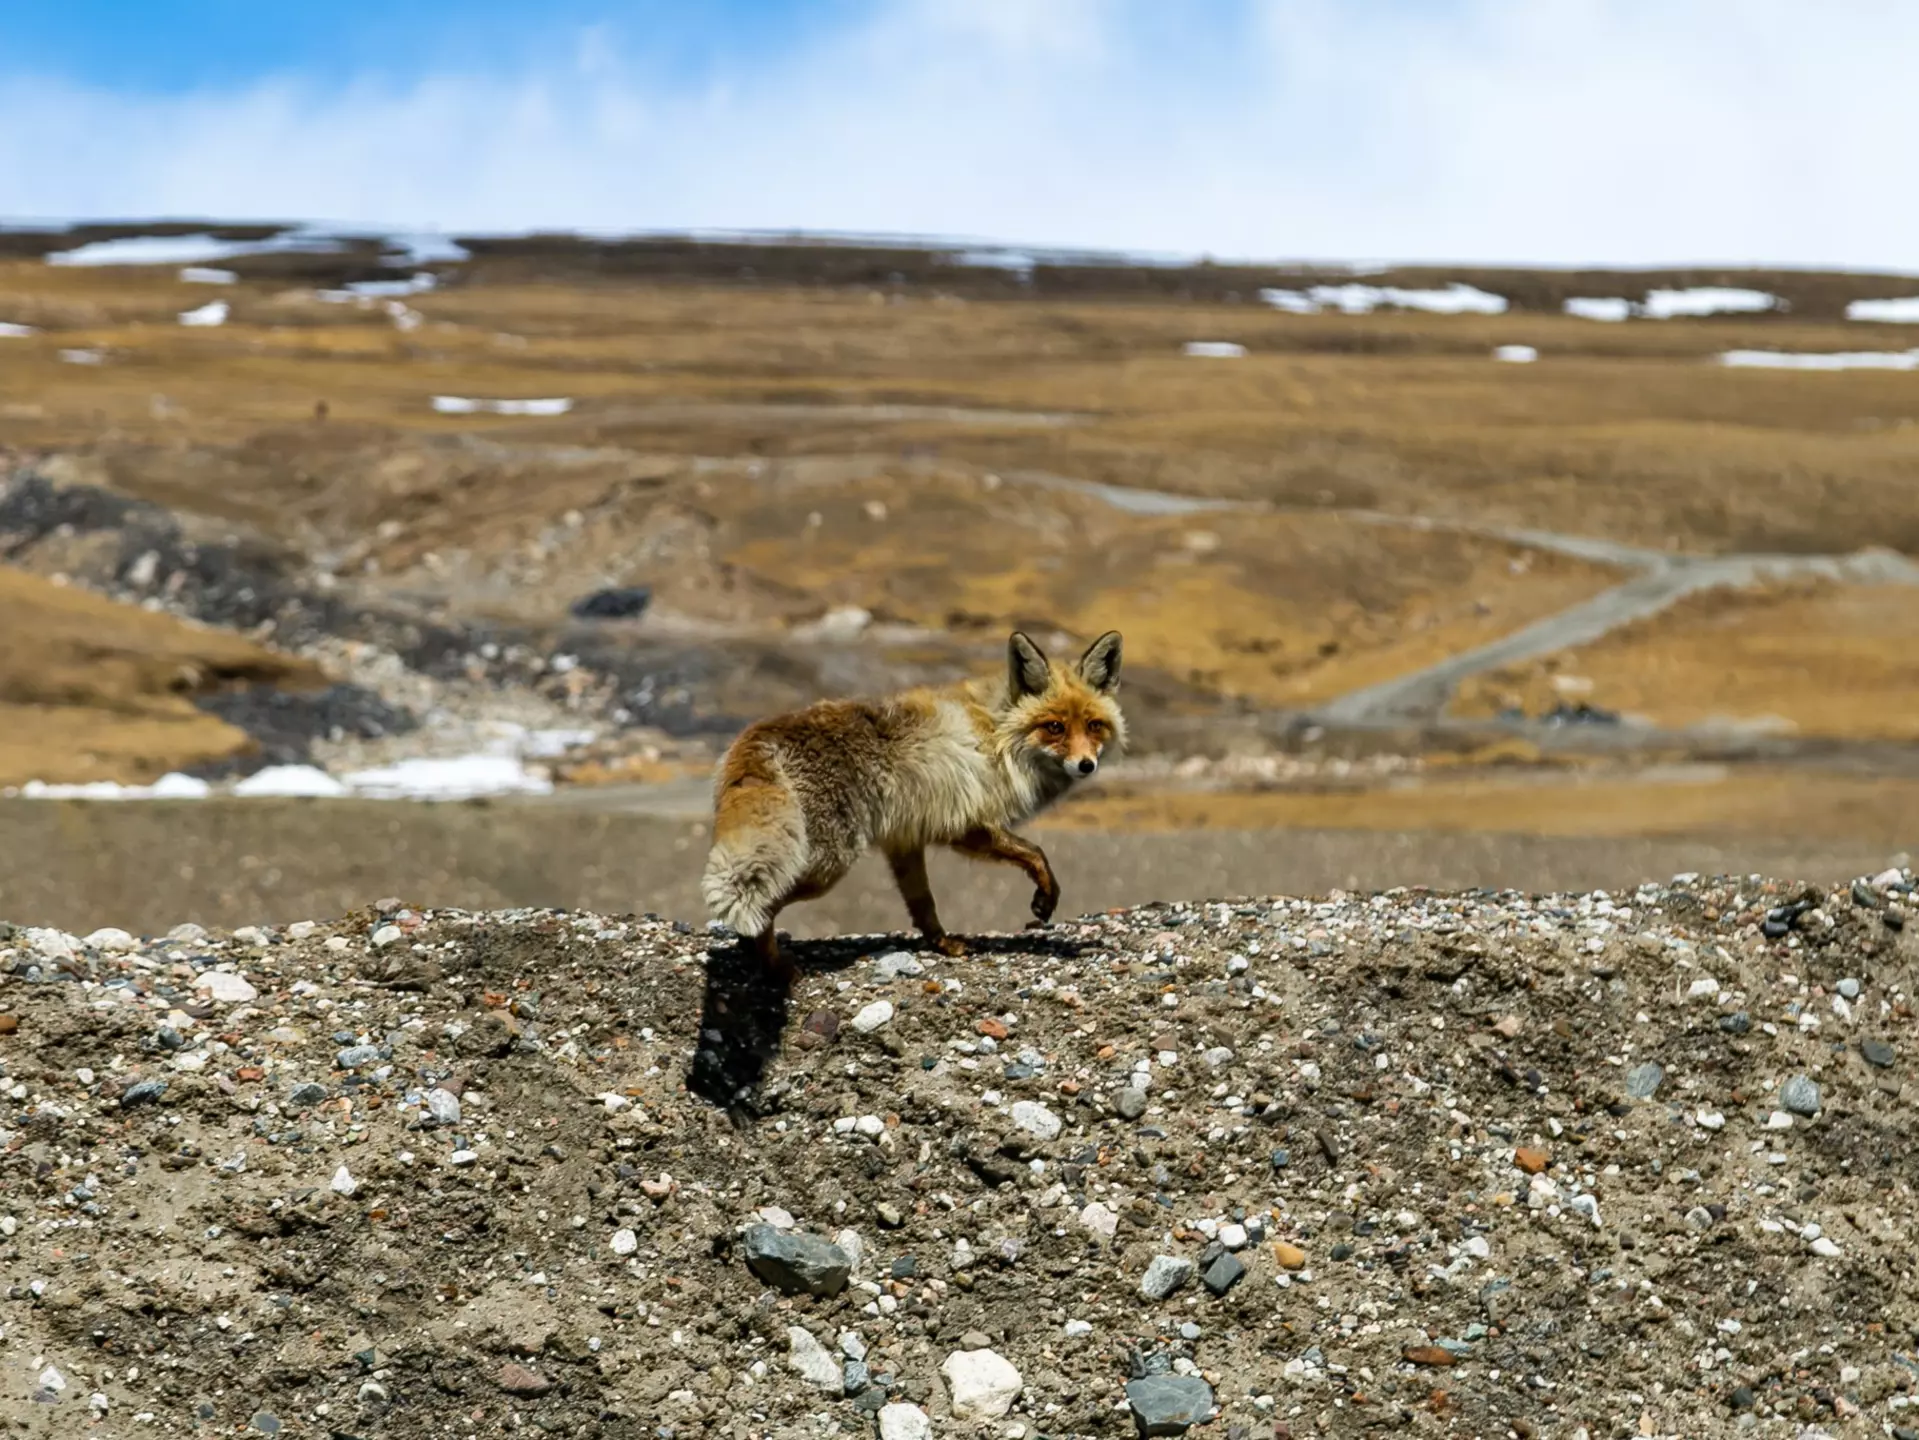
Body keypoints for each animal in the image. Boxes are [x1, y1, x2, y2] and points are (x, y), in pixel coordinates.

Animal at [701, 629, 1125, 981]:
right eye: (1054, 727)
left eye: (1093, 726)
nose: (1086, 765)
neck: (997, 738)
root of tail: (756, 734)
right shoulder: (964, 822)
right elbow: (1035, 853)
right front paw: (1045, 898)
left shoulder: (904, 840)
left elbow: (923, 903)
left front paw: (941, 944)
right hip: (823, 866)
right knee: (761, 909)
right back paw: (775, 969)